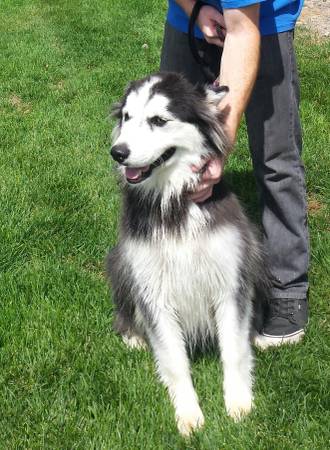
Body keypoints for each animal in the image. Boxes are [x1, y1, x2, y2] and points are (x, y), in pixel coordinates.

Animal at [107, 72, 266, 434]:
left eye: (158, 120)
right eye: (127, 117)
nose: (118, 152)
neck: (174, 203)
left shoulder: (230, 282)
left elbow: (234, 350)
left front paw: (238, 402)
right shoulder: (153, 290)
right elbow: (174, 360)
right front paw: (189, 414)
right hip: (120, 261)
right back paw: (132, 334)